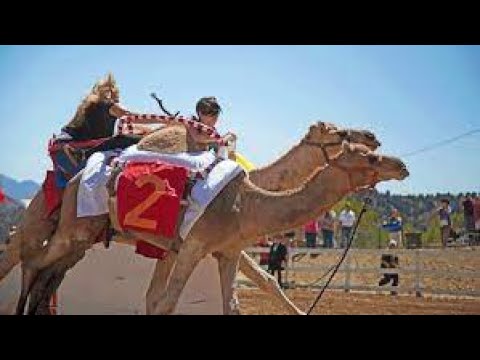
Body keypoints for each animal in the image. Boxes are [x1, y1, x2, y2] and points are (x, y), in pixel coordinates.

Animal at [3, 121, 378, 316]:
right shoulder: (204, 242)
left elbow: (156, 297)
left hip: (80, 238)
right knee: (18, 255)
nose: (372, 136)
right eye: (336, 132)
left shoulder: (176, 247)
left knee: (48, 273)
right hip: (45, 223)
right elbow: (266, 279)